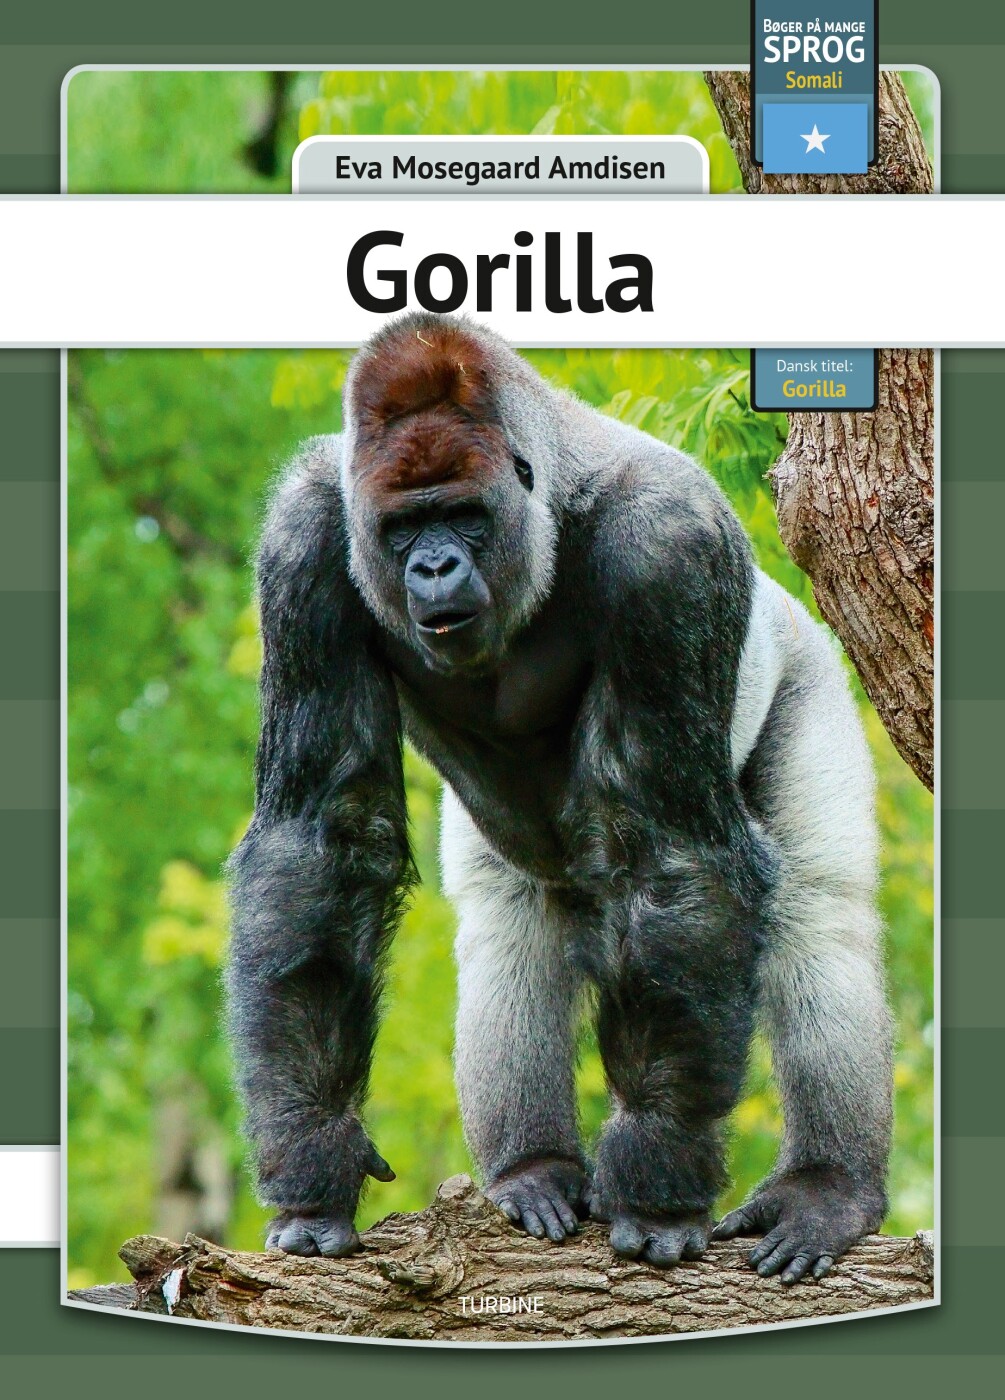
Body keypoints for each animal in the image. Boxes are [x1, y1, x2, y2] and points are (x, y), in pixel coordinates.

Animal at [226, 312, 893, 1284]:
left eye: (463, 516)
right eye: (403, 527)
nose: (432, 568)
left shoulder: (669, 546)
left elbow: (670, 854)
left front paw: (657, 1183)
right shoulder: (305, 540)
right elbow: (319, 843)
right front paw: (314, 1159)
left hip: (803, 660)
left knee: (818, 913)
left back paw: (826, 1188)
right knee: (509, 926)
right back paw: (530, 1170)